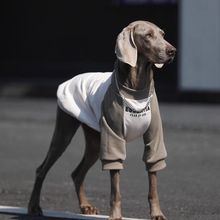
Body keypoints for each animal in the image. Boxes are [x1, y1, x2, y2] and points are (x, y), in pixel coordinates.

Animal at [27, 19, 175, 219]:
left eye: (162, 34)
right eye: (148, 35)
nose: (172, 51)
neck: (136, 89)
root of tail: (69, 80)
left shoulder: (154, 137)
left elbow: (153, 178)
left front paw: (157, 213)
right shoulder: (113, 138)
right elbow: (115, 187)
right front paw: (116, 215)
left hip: (95, 142)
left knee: (77, 173)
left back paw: (86, 207)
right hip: (64, 132)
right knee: (41, 169)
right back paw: (34, 207)